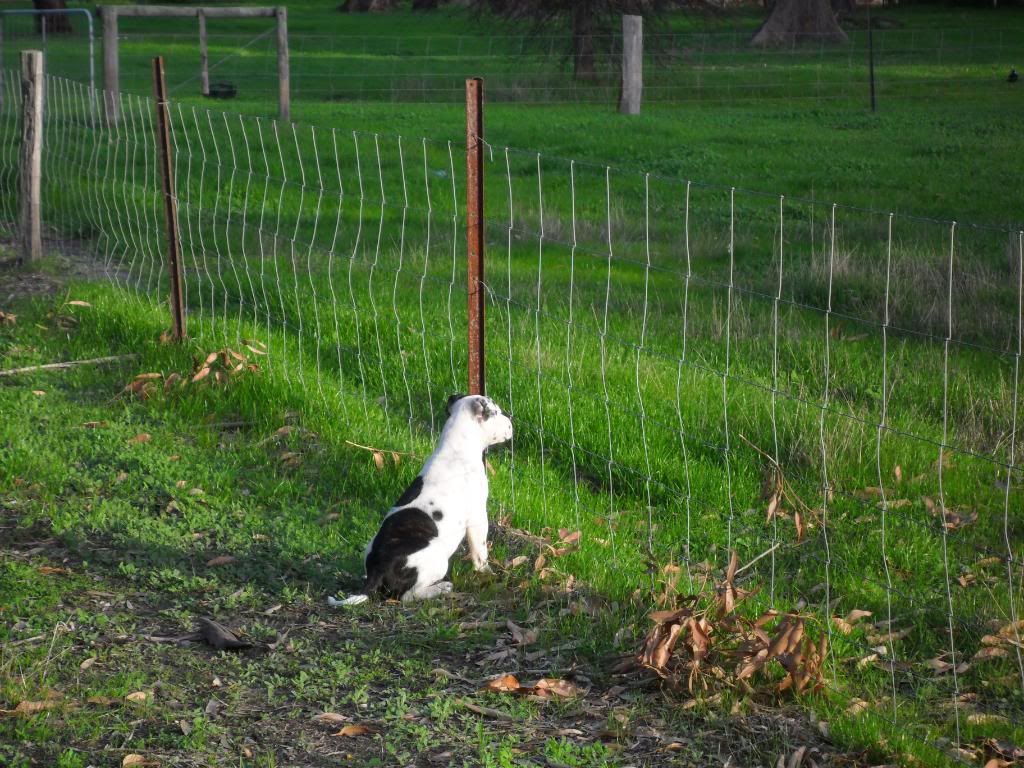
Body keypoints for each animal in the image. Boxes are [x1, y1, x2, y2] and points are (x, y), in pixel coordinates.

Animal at [329, 397, 512, 606]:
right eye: (497, 412)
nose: (510, 423)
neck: (456, 446)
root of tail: (377, 570)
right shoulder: (478, 516)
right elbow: (480, 550)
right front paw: (486, 572)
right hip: (437, 559)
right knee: (407, 596)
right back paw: (440, 588)